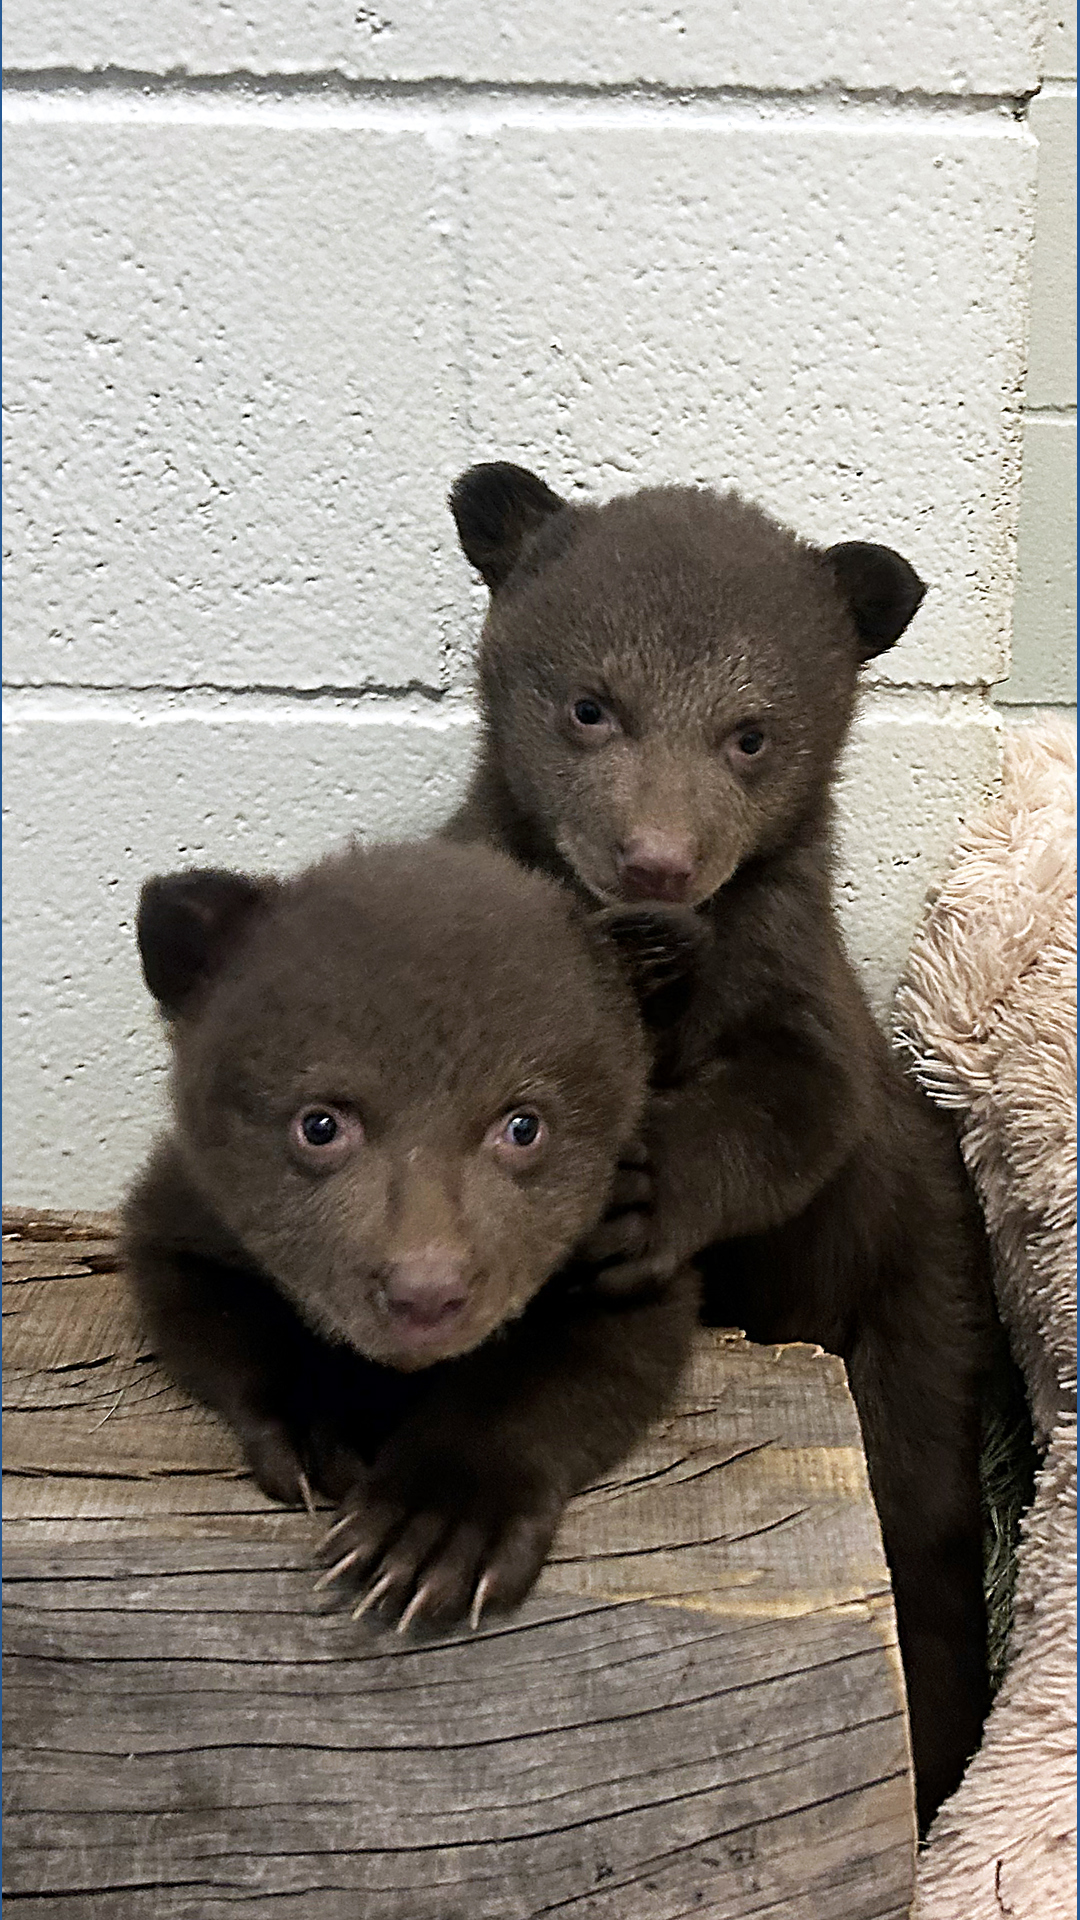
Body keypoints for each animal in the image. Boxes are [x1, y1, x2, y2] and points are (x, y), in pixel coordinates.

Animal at [122, 837, 701, 1631]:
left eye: (523, 1125)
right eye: (320, 1123)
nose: (426, 1293)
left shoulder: (619, 1245)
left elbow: (587, 1359)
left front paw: (433, 1529)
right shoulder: (189, 1206)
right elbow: (201, 1299)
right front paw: (316, 1428)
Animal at [445, 462, 992, 1827]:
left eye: (751, 732)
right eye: (591, 705)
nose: (657, 860)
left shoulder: (797, 971)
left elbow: (804, 1100)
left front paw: (640, 1194)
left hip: (919, 1300)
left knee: (925, 1518)